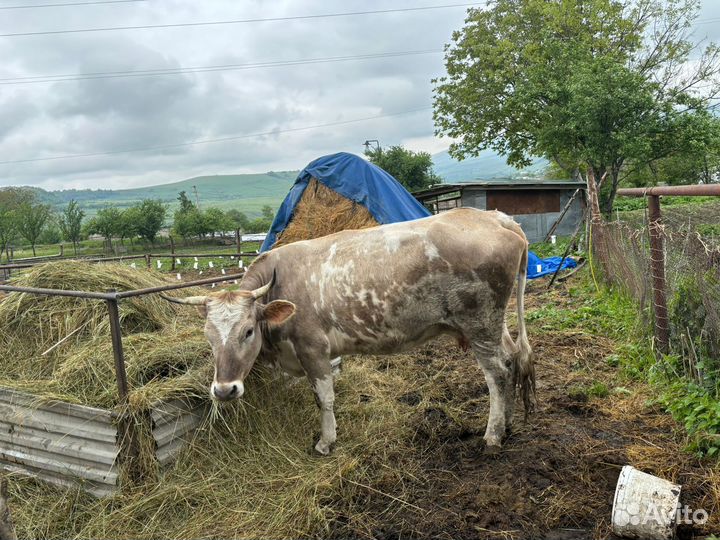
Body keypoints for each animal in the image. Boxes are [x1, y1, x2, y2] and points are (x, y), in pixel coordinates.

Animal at [163, 208, 535, 455]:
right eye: (209, 337)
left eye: (248, 331)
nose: (224, 390)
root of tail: (496, 218)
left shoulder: (312, 347)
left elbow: (324, 398)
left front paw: (326, 441)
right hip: (493, 325)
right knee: (512, 359)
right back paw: (508, 423)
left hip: (479, 323)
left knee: (498, 373)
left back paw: (492, 435)